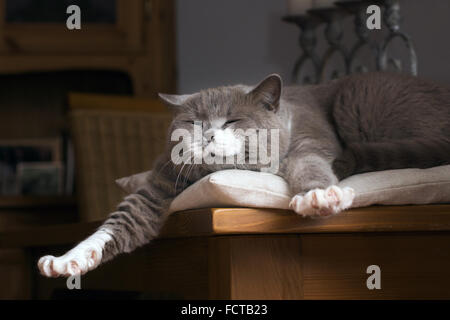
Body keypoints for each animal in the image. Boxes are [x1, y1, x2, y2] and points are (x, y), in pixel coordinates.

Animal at [38, 72, 450, 278]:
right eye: (192, 121)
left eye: (232, 120)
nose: (207, 134)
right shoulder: (161, 181)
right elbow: (121, 222)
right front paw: (66, 261)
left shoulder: (309, 141)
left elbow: (311, 165)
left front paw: (318, 197)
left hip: (361, 100)